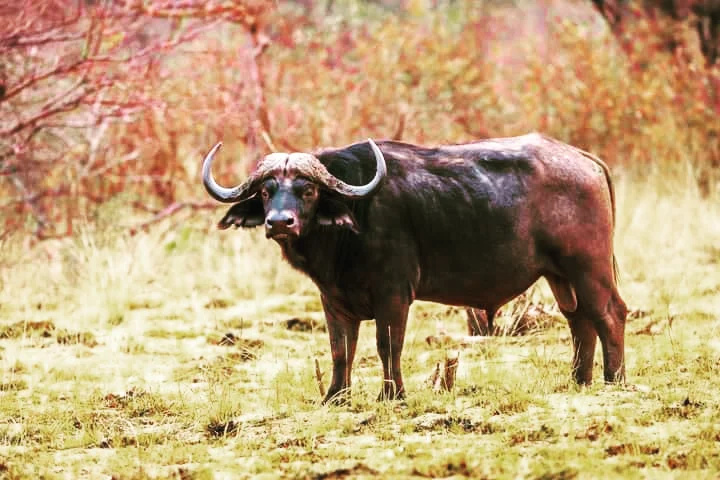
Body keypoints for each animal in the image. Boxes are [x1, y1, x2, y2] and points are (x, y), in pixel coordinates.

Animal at [202, 133, 627, 403]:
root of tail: (585, 161)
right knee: (579, 320)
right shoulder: (333, 300)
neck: (352, 223)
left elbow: (387, 344)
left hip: (588, 267)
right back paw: (580, 381)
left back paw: (614, 380)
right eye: (266, 191)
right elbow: (341, 349)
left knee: (610, 314)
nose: (280, 223)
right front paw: (335, 397)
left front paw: (391, 394)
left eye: (307, 190)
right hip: (560, 276)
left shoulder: (393, 293)